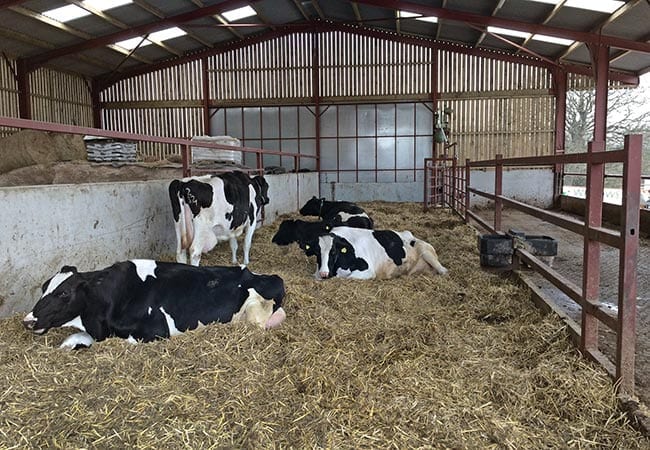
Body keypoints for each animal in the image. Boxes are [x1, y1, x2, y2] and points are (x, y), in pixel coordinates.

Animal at [298, 227, 446, 280]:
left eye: (333, 252)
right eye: (317, 252)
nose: (324, 273)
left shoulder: (368, 271)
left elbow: (347, 277)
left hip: (426, 251)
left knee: (443, 270)